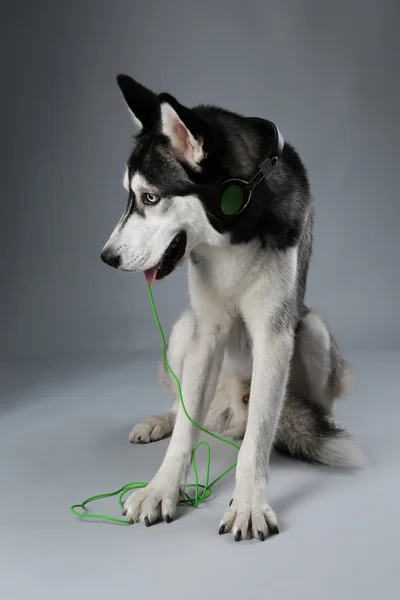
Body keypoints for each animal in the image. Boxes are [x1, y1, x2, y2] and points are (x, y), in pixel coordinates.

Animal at [101, 74, 364, 540]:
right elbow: (185, 433)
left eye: (150, 198)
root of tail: (228, 409)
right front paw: (161, 489)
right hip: (183, 332)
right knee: (185, 407)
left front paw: (248, 504)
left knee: (276, 415)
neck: (234, 227)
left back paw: (314, 430)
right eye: (130, 197)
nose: (107, 258)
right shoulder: (207, 332)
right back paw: (161, 421)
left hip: (311, 332)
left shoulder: (274, 335)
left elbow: (259, 435)